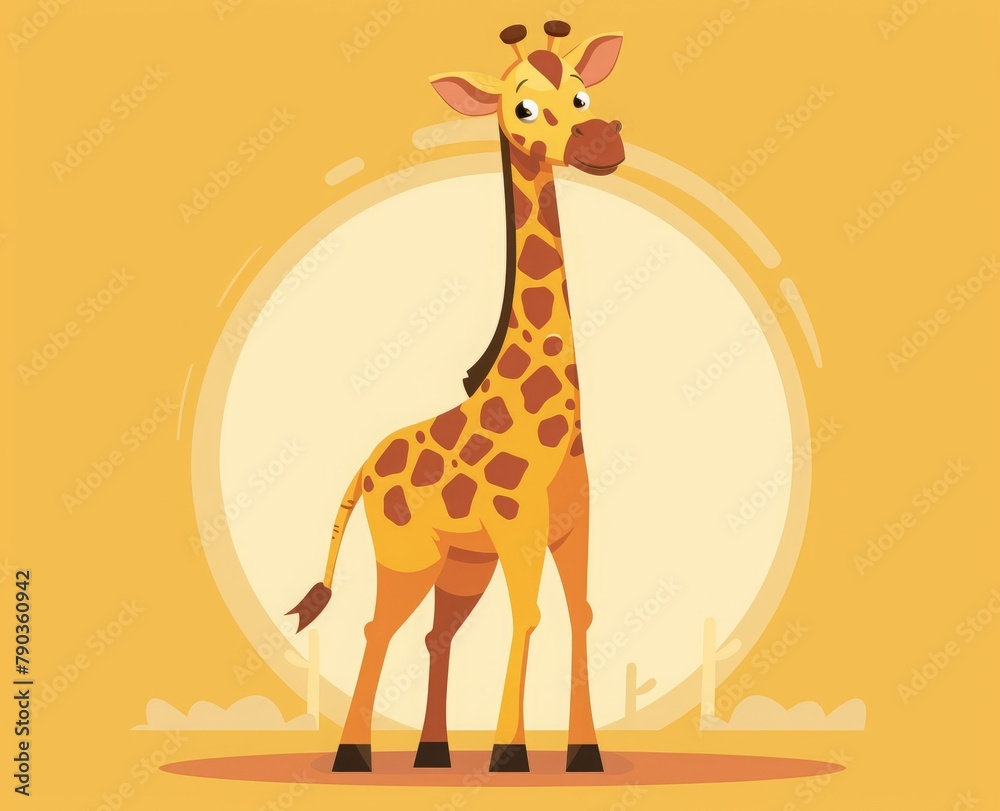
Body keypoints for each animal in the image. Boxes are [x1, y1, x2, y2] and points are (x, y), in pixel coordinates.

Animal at [287, 20, 625, 774]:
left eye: (583, 93)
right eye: (523, 107)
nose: (602, 142)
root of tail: (363, 467)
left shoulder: (575, 524)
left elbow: (581, 613)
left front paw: (583, 753)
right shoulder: (518, 524)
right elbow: (530, 615)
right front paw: (509, 753)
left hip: (460, 563)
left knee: (435, 634)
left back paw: (432, 753)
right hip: (406, 554)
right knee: (377, 625)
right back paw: (353, 755)